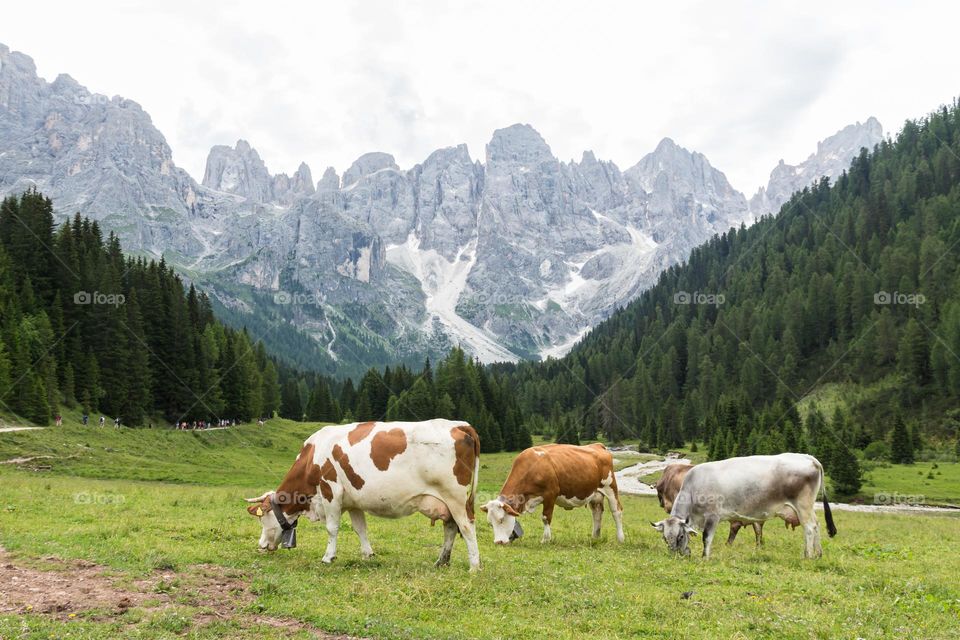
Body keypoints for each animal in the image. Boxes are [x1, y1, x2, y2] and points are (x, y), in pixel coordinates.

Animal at [244, 419, 481, 570]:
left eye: (263, 518)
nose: (261, 546)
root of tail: (459, 424)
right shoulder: (353, 501)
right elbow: (360, 528)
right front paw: (368, 554)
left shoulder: (331, 491)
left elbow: (332, 528)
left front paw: (328, 557)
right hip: (446, 501)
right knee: (450, 527)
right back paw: (441, 562)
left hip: (456, 497)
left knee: (466, 527)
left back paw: (474, 567)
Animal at [481, 443, 624, 544]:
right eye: (490, 523)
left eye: (501, 519)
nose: (498, 542)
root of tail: (597, 445)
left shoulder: (550, 495)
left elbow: (545, 517)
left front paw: (546, 539)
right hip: (594, 494)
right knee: (597, 513)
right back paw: (595, 537)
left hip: (610, 487)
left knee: (616, 511)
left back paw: (620, 538)